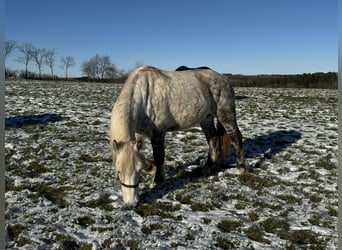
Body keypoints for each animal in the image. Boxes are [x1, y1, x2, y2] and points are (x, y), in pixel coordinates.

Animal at [109, 65, 243, 206]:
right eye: (118, 171)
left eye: (138, 171)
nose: (131, 203)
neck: (144, 97)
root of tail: (224, 79)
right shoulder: (139, 134)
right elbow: (144, 156)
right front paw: (151, 168)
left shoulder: (158, 133)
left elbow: (159, 156)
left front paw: (157, 181)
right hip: (206, 118)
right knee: (213, 139)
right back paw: (208, 167)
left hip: (225, 115)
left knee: (236, 137)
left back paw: (241, 169)